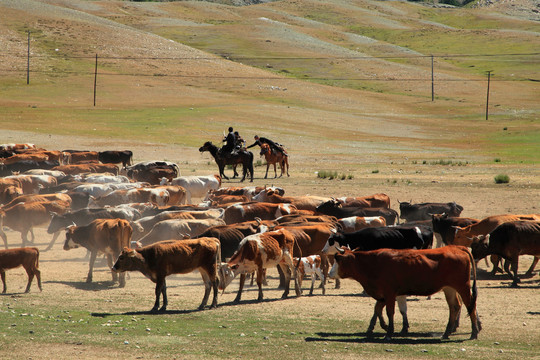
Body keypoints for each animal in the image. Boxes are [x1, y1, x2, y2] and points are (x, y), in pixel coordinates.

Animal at [330, 246, 480, 342]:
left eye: (339, 260)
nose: (330, 274)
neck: (374, 263)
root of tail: (457, 248)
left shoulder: (389, 293)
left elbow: (390, 312)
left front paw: (389, 333)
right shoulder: (383, 294)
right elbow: (377, 309)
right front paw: (384, 327)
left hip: (463, 286)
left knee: (470, 306)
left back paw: (474, 333)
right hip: (449, 288)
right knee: (454, 307)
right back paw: (446, 333)